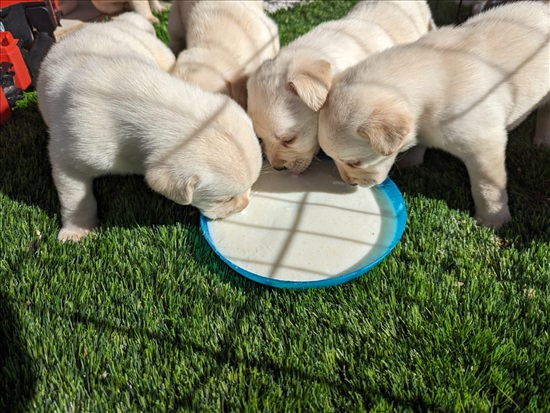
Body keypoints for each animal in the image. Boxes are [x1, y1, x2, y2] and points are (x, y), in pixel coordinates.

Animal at [37, 12, 264, 241]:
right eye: (224, 200)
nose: (245, 204)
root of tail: (111, 23)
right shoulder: (68, 159)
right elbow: (76, 199)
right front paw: (77, 230)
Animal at [320, 0, 550, 229]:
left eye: (354, 163)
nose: (349, 183)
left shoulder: (485, 145)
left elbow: (487, 187)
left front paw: (493, 220)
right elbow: (417, 145)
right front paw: (410, 163)